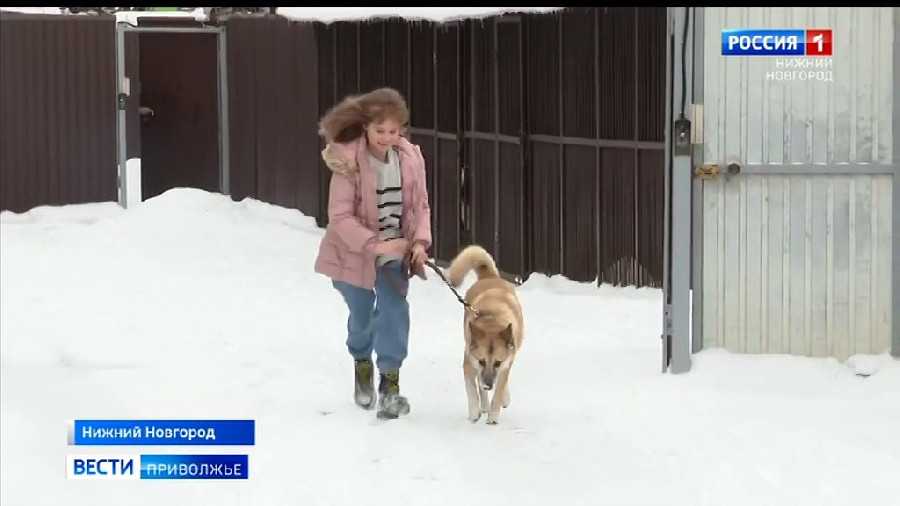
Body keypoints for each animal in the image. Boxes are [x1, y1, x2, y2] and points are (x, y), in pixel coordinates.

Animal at [446, 245, 524, 422]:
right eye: (482, 361)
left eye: (497, 363)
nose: (488, 385)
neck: (492, 320)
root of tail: (489, 276)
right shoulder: (470, 362)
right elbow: (472, 390)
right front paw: (475, 412)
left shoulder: (505, 363)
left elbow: (500, 389)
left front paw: (493, 417)